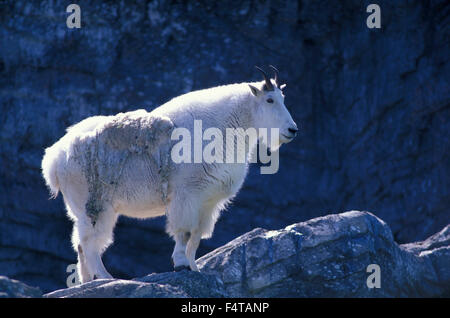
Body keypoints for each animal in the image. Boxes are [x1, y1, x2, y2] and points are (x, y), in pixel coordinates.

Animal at [40, 66, 298, 282]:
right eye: (270, 99)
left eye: (284, 98)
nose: (292, 130)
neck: (226, 127)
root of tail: (53, 159)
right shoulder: (187, 193)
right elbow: (184, 231)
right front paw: (181, 264)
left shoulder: (208, 201)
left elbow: (197, 236)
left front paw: (195, 267)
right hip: (95, 204)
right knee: (90, 242)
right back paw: (105, 277)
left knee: (80, 243)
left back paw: (86, 281)